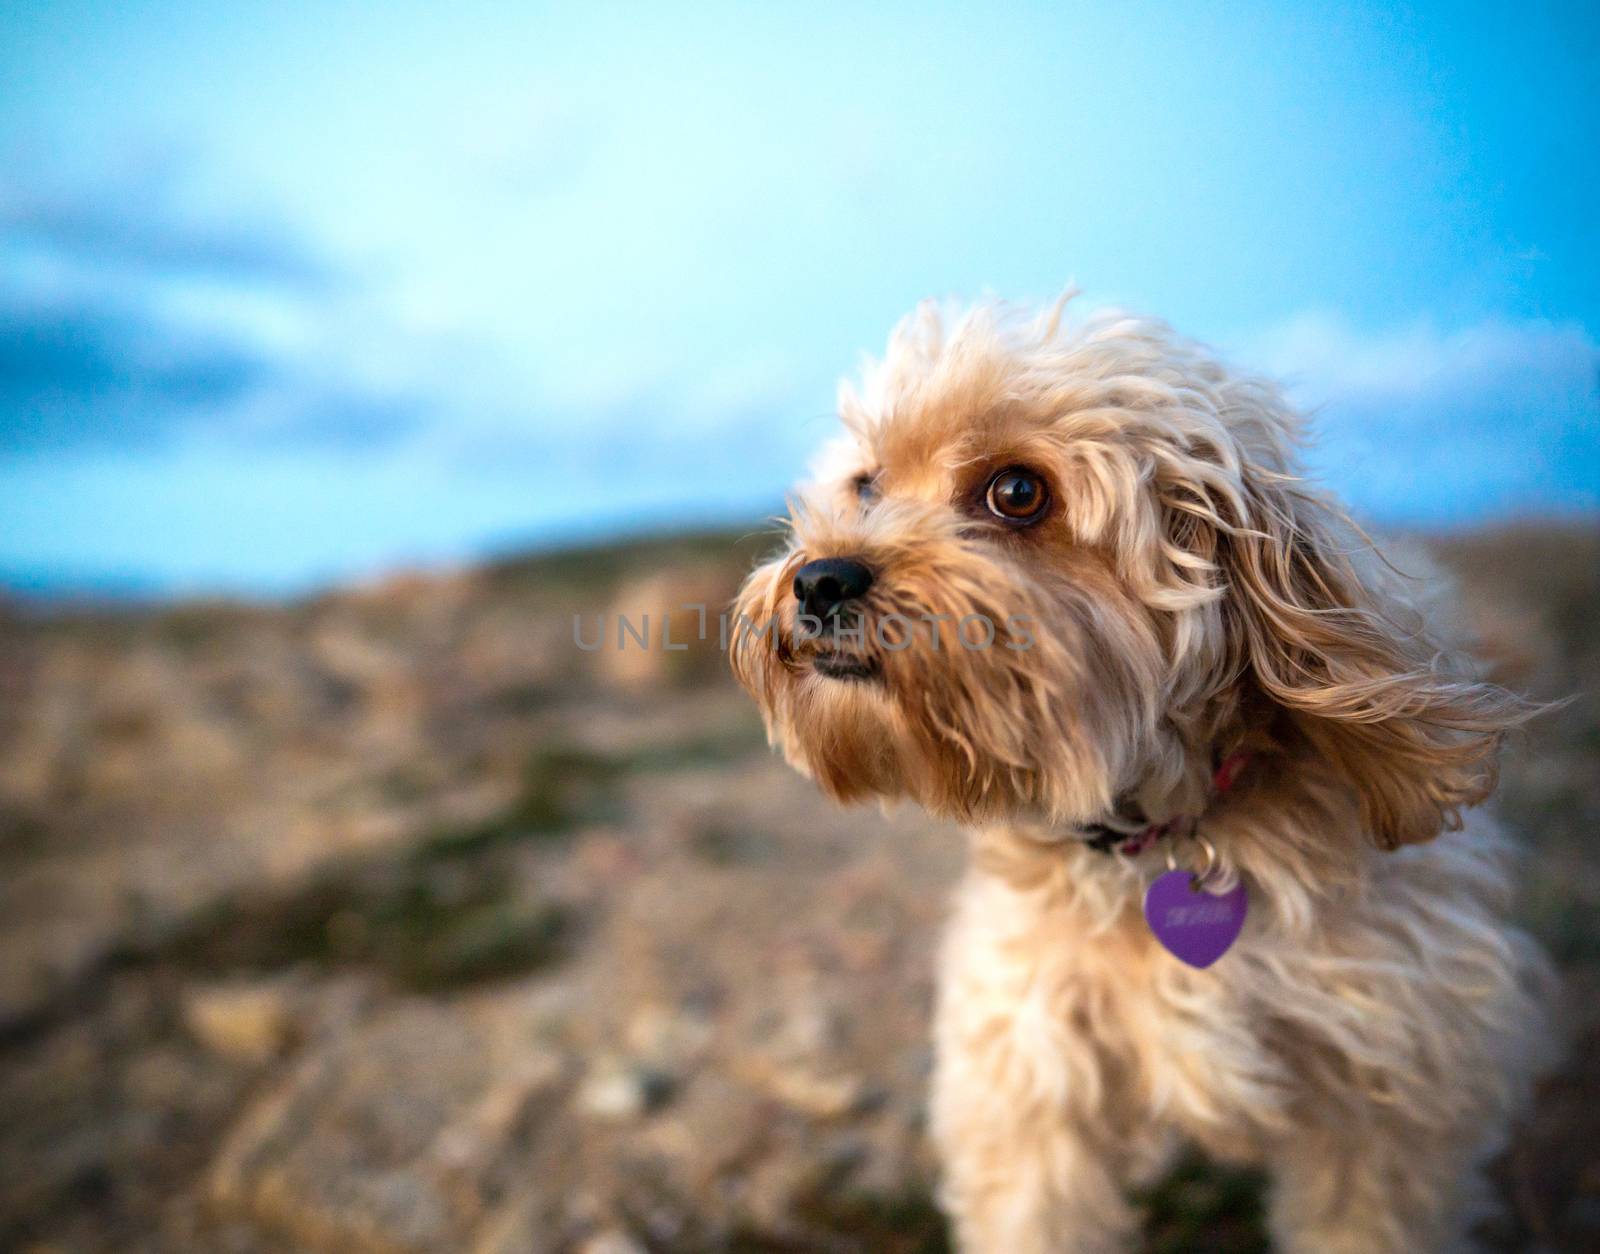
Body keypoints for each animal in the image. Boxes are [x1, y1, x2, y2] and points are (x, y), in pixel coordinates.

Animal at [732, 299, 1555, 1247]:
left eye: (1017, 492)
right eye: (866, 486)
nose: (819, 579)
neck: (1167, 832)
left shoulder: (1395, 1091)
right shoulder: (1031, 1074)